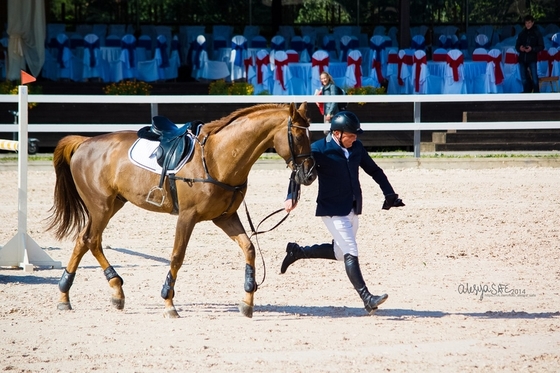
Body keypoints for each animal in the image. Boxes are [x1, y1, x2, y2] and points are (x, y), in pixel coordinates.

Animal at [46, 102, 318, 316]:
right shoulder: (187, 217)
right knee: (91, 240)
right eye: (297, 136)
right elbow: (177, 256)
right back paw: (105, 289)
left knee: (85, 241)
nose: (310, 175)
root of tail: (85, 143)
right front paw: (168, 302)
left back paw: (73, 295)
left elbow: (249, 248)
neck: (217, 157)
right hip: (100, 206)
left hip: (113, 204)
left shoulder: (225, 217)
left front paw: (247, 300)